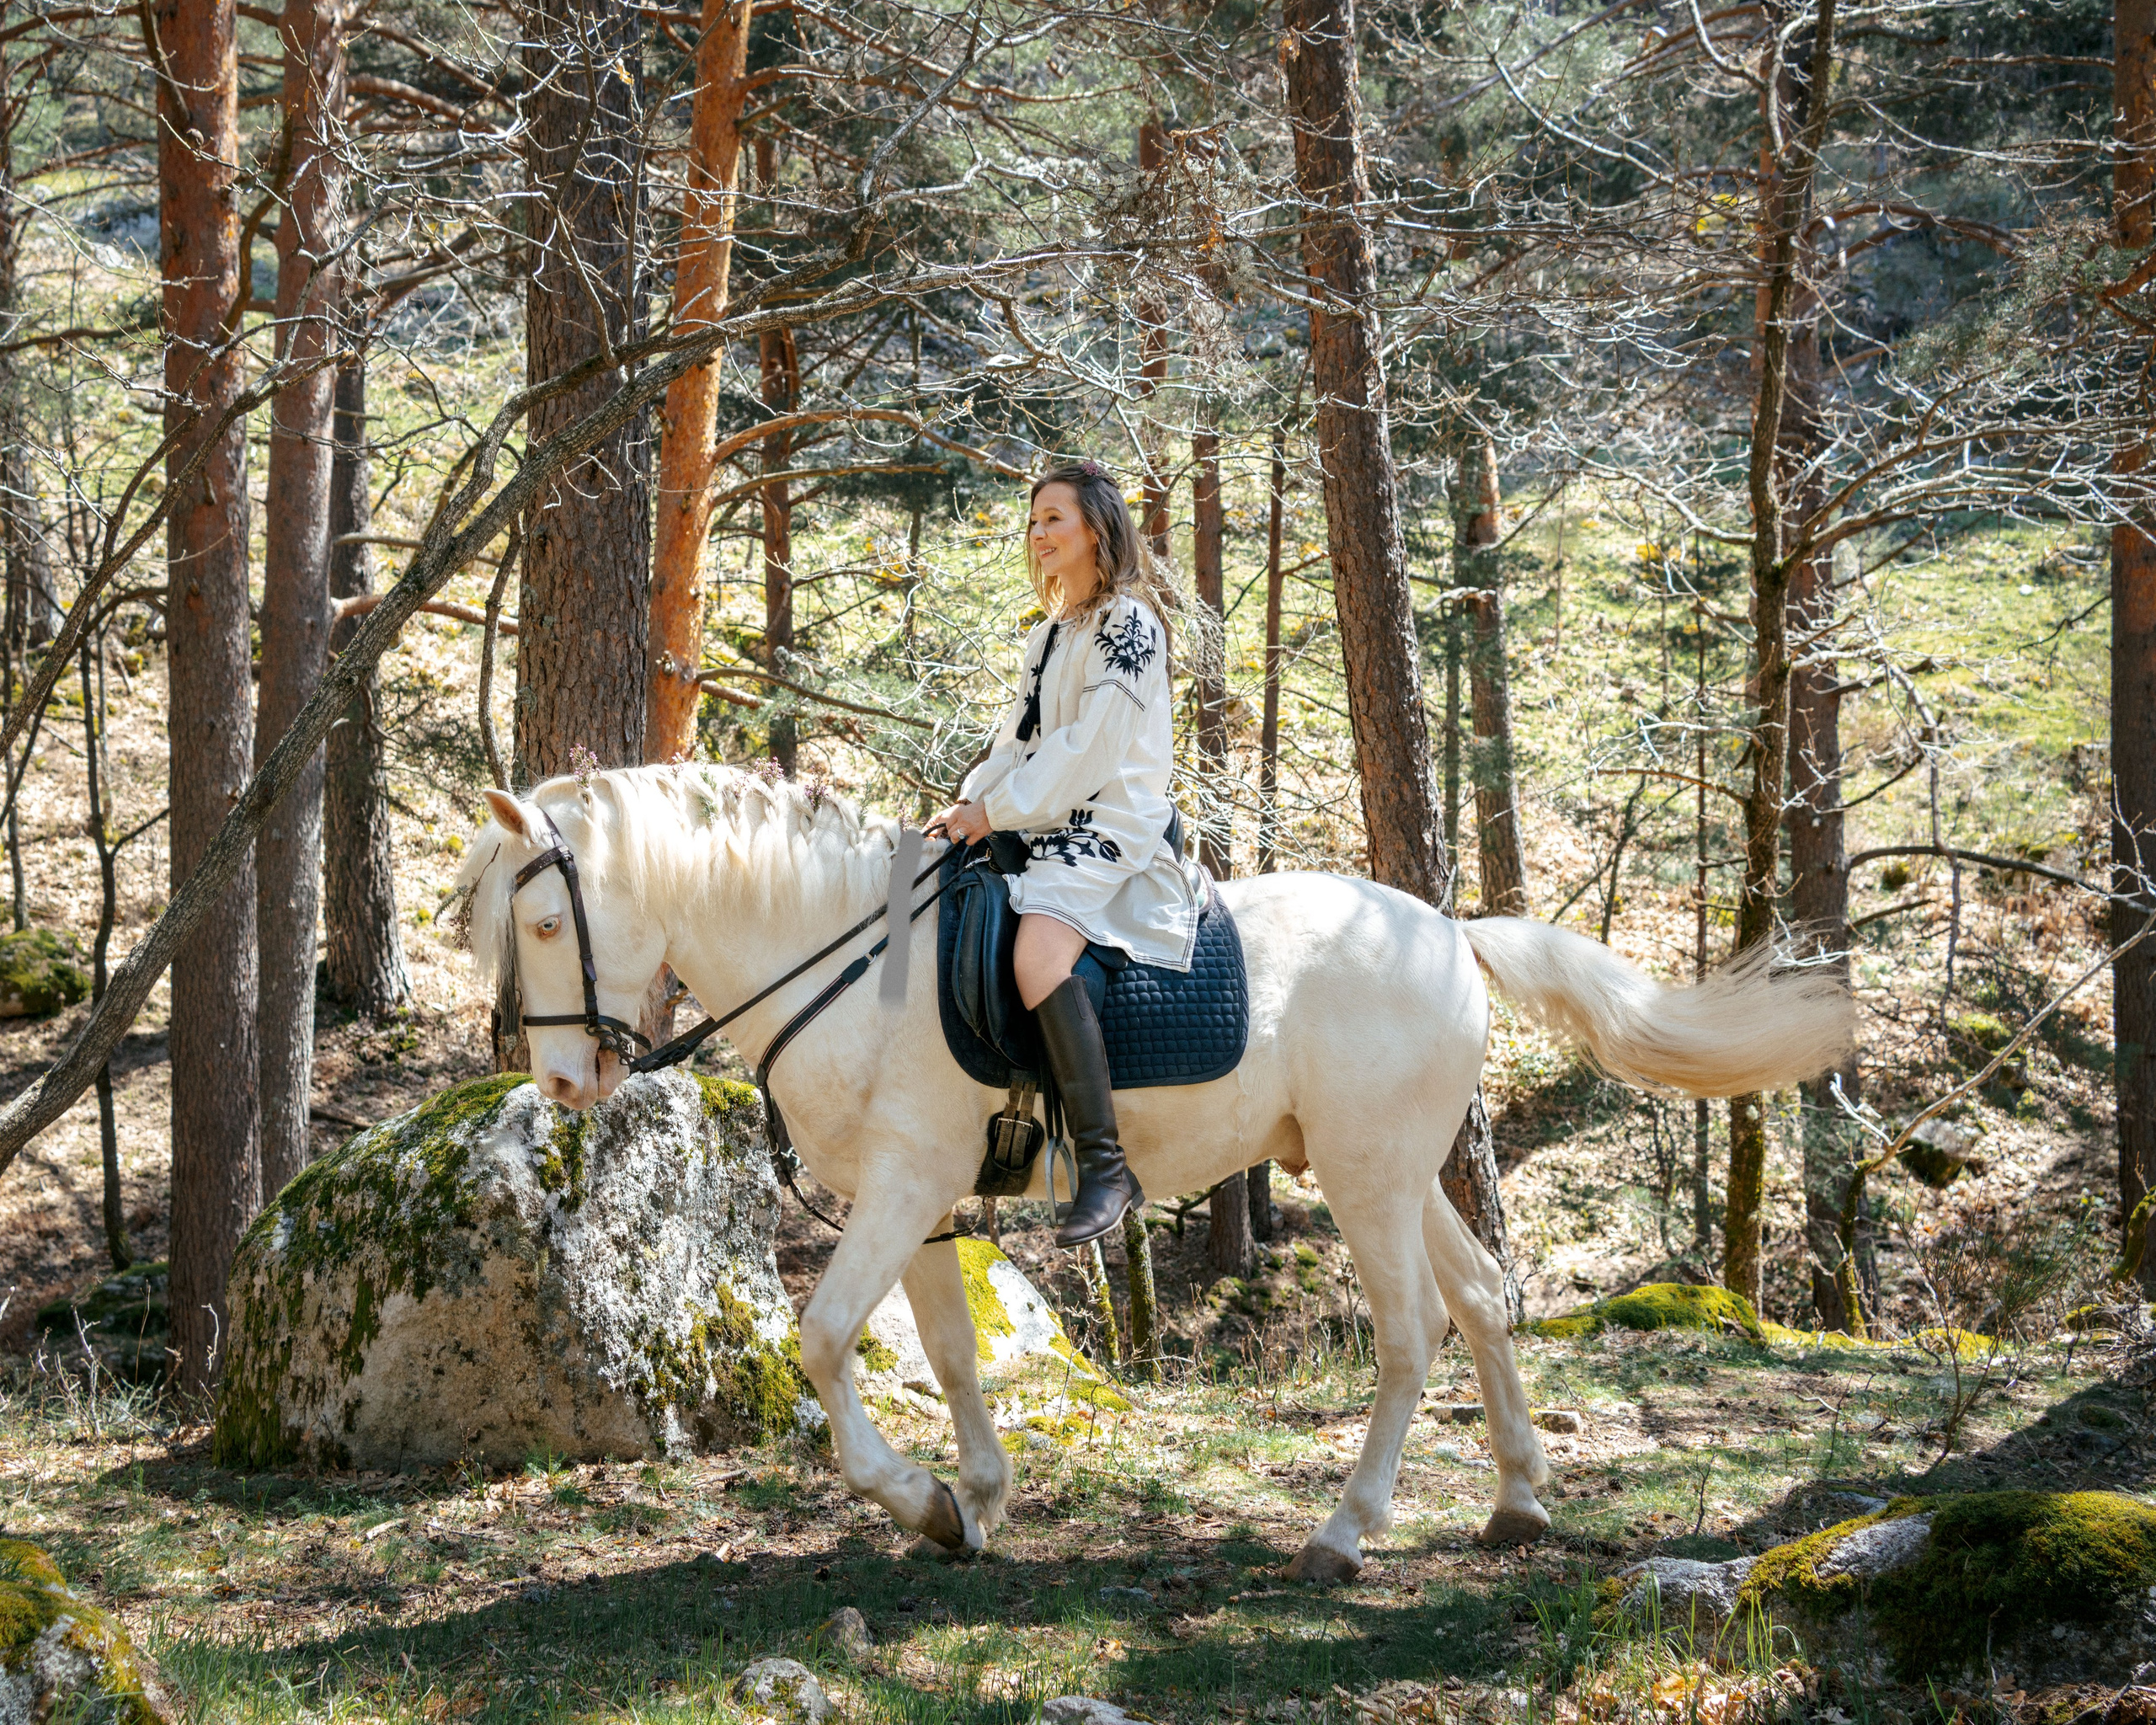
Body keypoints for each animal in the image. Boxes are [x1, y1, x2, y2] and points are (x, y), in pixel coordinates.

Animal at [454, 763, 1852, 1580]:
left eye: (544, 922)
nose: (564, 1089)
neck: (853, 960)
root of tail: (1451, 933)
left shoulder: (903, 1186)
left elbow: (826, 1338)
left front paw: (913, 1499)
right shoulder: (913, 1202)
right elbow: (947, 1356)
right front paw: (974, 1504)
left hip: (1364, 1181)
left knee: (1411, 1335)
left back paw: (1346, 1531)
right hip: (1397, 1172)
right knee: (1484, 1303)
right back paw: (1517, 1505)